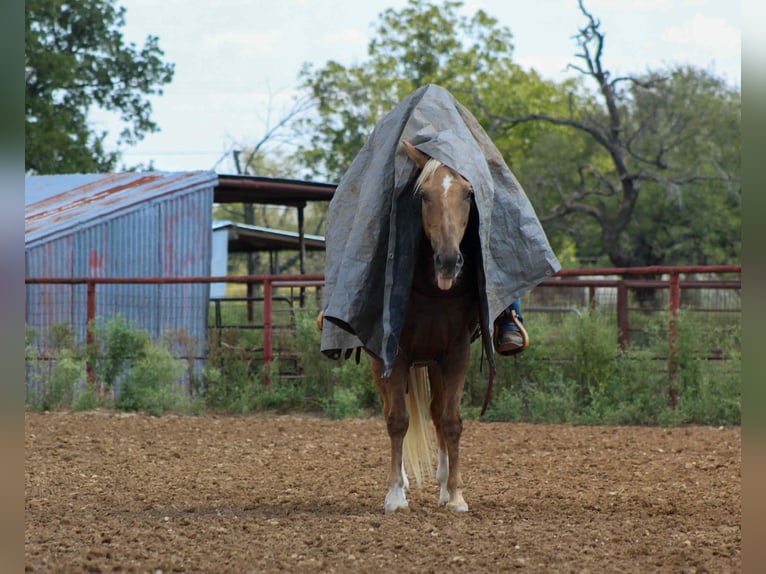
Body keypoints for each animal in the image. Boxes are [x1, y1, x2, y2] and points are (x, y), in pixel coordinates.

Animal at [367, 140, 481, 513]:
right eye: (424, 195)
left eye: (468, 194)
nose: (448, 260)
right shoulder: (394, 355)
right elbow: (397, 420)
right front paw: (394, 495)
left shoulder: (456, 353)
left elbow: (451, 421)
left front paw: (456, 495)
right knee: (392, 411)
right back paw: (402, 481)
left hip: (434, 362)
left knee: (436, 413)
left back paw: (444, 485)